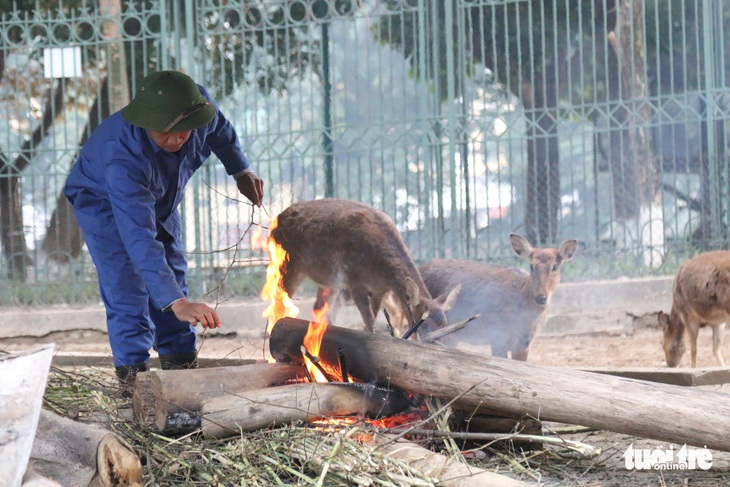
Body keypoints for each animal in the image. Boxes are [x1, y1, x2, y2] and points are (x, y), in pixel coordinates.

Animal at [270, 198, 458, 336]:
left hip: (329, 282)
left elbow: (371, 319)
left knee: (319, 309)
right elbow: (369, 320)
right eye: (423, 323)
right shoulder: (355, 279)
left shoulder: (379, 290)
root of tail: (277, 220)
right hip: (288, 264)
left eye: (445, 323)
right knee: (279, 300)